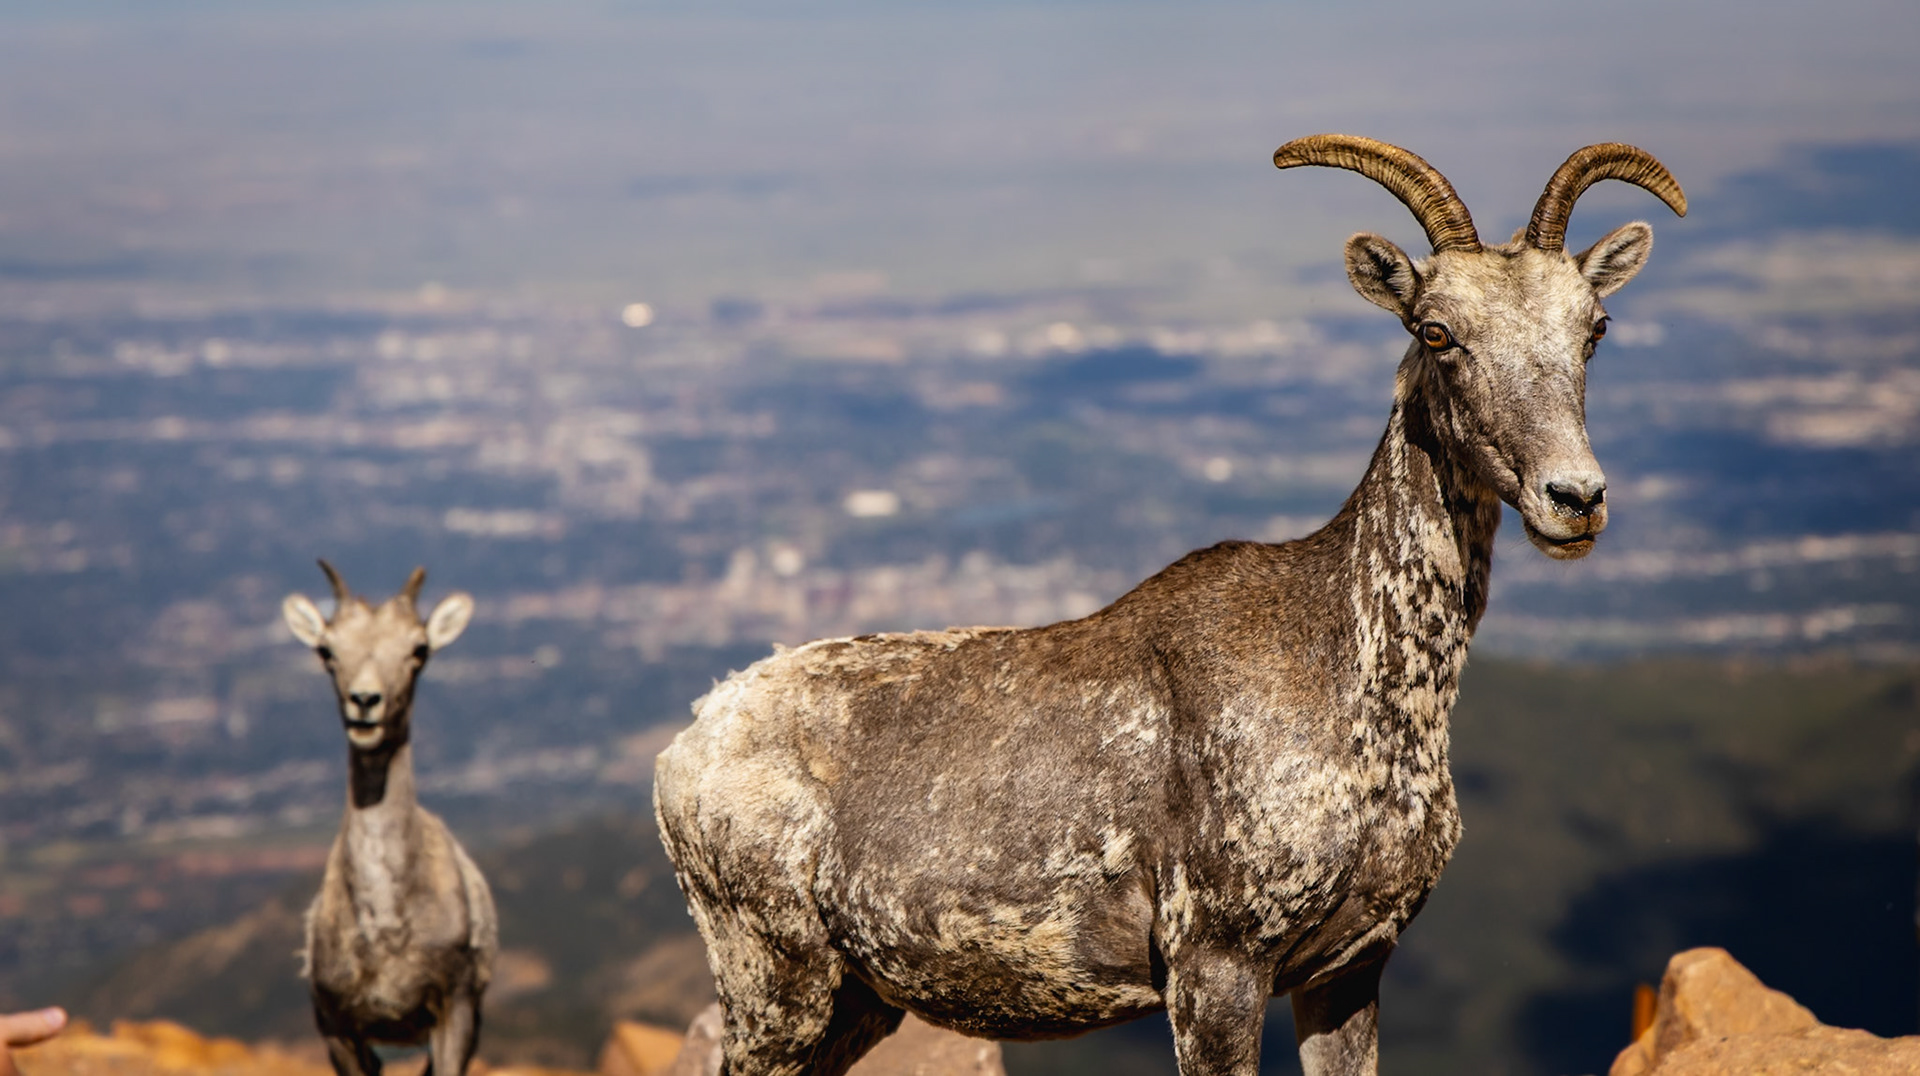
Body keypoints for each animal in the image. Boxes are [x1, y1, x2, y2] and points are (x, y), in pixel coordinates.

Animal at [283, 562, 496, 1076]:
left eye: (419, 649)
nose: (365, 702)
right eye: (327, 649)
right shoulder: (338, 1029)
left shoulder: (454, 1013)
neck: (384, 927)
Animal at [654, 135, 1686, 1076]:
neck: (1358, 685)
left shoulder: (1348, 971)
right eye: (1436, 330)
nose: (1574, 498)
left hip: (854, 1003)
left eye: (1594, 327)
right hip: (775, 982)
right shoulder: (1215, 966)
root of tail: (687, 744)